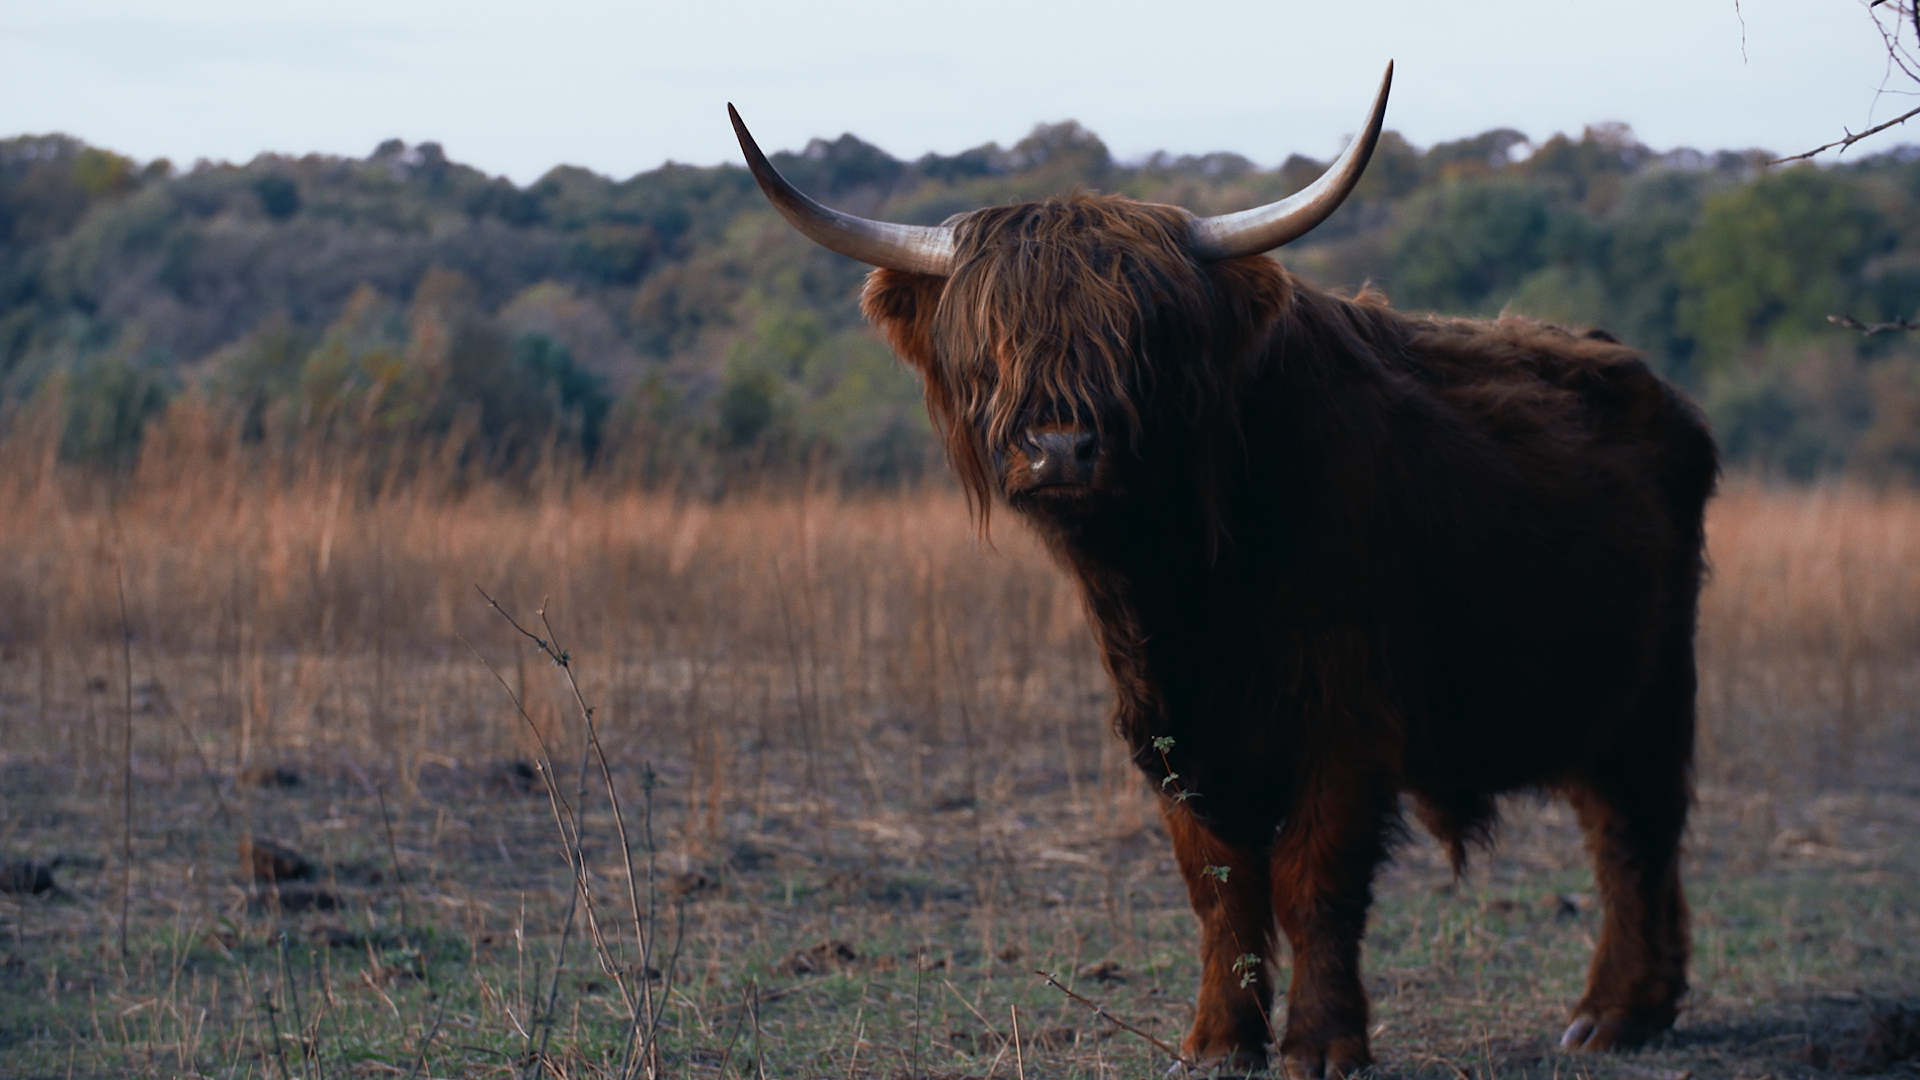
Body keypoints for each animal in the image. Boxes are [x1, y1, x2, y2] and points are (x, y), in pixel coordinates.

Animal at [730, 63, 1716, 1078]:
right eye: (993, 345)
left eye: (1141, 343)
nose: (1060, 448)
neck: (1182, 587)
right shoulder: (1170, 734)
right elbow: (1220, 887)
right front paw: (1217, 1039)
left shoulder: (1346, 721)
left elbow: (1314, 883)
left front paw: (1321, 1044)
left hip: (1648, 687)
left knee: (1635, 835)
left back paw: (1616, 1012)